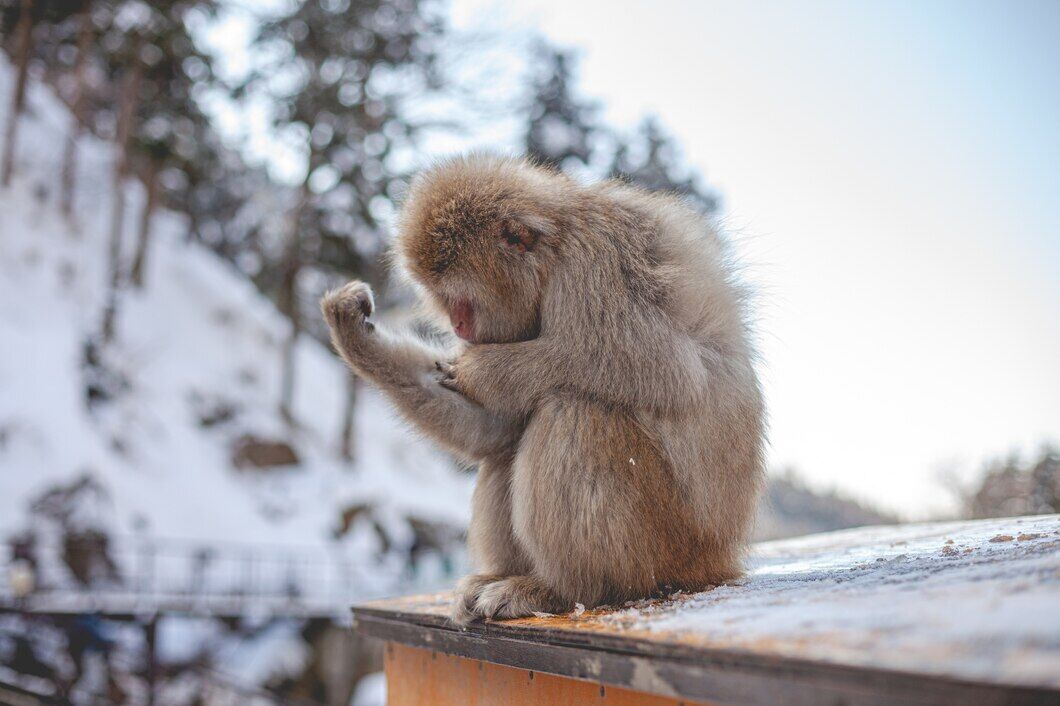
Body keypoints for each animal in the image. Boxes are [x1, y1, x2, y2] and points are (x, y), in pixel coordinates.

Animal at [317, 152, 767, 623]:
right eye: (443, 299)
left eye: (461, 300)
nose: (458, 326)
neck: (556, 251)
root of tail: (719, 560)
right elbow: (491, 429)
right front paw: (355, 333)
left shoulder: (598, 263)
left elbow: (668, 370)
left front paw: (487, 369)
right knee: (506, 448)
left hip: (667, 542)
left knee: (573, 412)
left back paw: (565, 590)